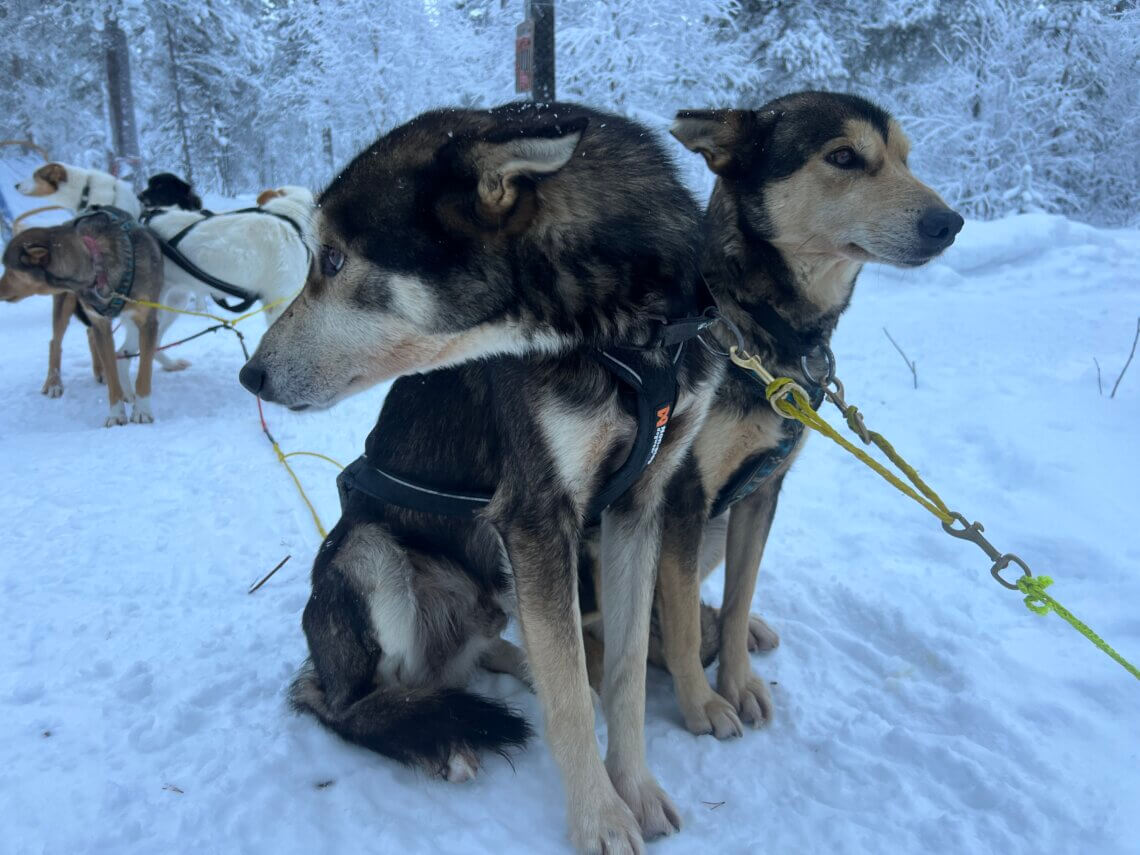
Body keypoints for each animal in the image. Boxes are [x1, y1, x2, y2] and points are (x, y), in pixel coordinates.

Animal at [2, 205, 166, 426]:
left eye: (10, 270)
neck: (96, 263)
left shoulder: (147, 322)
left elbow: (144, 372)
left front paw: (142, 411)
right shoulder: (101, 322)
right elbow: (113, 379)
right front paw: (116, 414)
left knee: (89, 335)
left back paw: (99, 371)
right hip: (65, 304)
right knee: (55, 342)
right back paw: (54, 382)